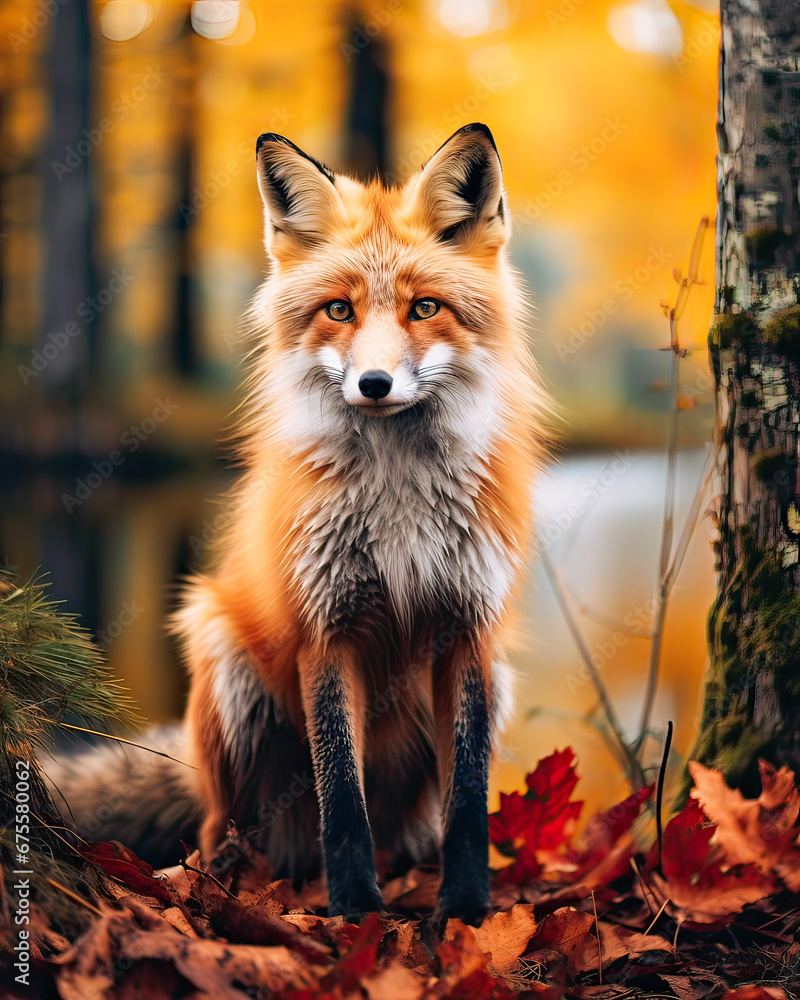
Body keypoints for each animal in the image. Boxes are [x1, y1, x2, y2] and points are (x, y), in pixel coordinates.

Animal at [47, 122, 552, 926]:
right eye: (339, 312)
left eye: (424, 308)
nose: (373, 384)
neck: (398, 502)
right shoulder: (326, 629)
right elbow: (341, 796)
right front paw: (356, 913)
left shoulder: (467, 630)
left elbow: (470, 801)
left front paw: (468, 913)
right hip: (225, 664)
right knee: (218, 833)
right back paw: (226, 888)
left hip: (496, 683)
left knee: (416, 827)